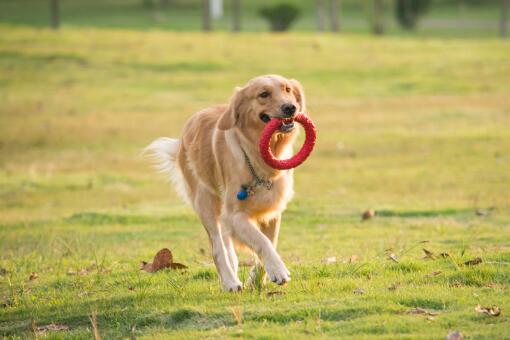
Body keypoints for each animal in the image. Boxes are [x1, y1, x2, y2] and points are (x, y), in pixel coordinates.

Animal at [146, 75, 306, 292]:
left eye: (287, 90)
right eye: (264, 94)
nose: (291, 107)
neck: (257, 156)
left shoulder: (272, 212)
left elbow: (270, 241)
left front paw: (257, 279)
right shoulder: (235, 215)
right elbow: (261, 241)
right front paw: (278, 270)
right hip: (205, 202)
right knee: (217, 247)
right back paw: (230, 281)